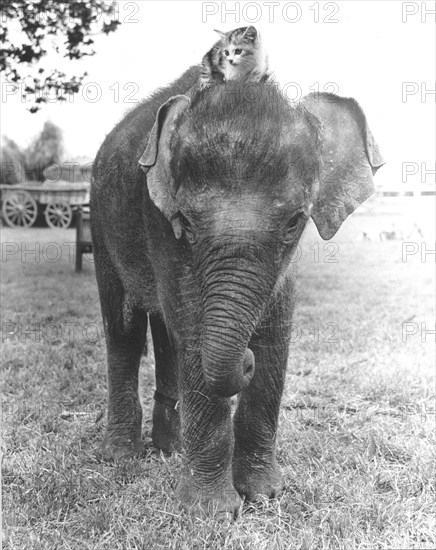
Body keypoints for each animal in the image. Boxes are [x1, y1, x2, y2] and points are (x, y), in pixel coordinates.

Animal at [90, 67, 384, 520]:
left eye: (295, 222)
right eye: (186, 222)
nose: (243, 359)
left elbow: (276, 333)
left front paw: (264, 494)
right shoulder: (157, 217)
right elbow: (194, 329)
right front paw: (211, 512)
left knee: (165, 334)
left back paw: (172, 448)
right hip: (100, 223)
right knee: (126, 331)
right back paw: (122, 456)